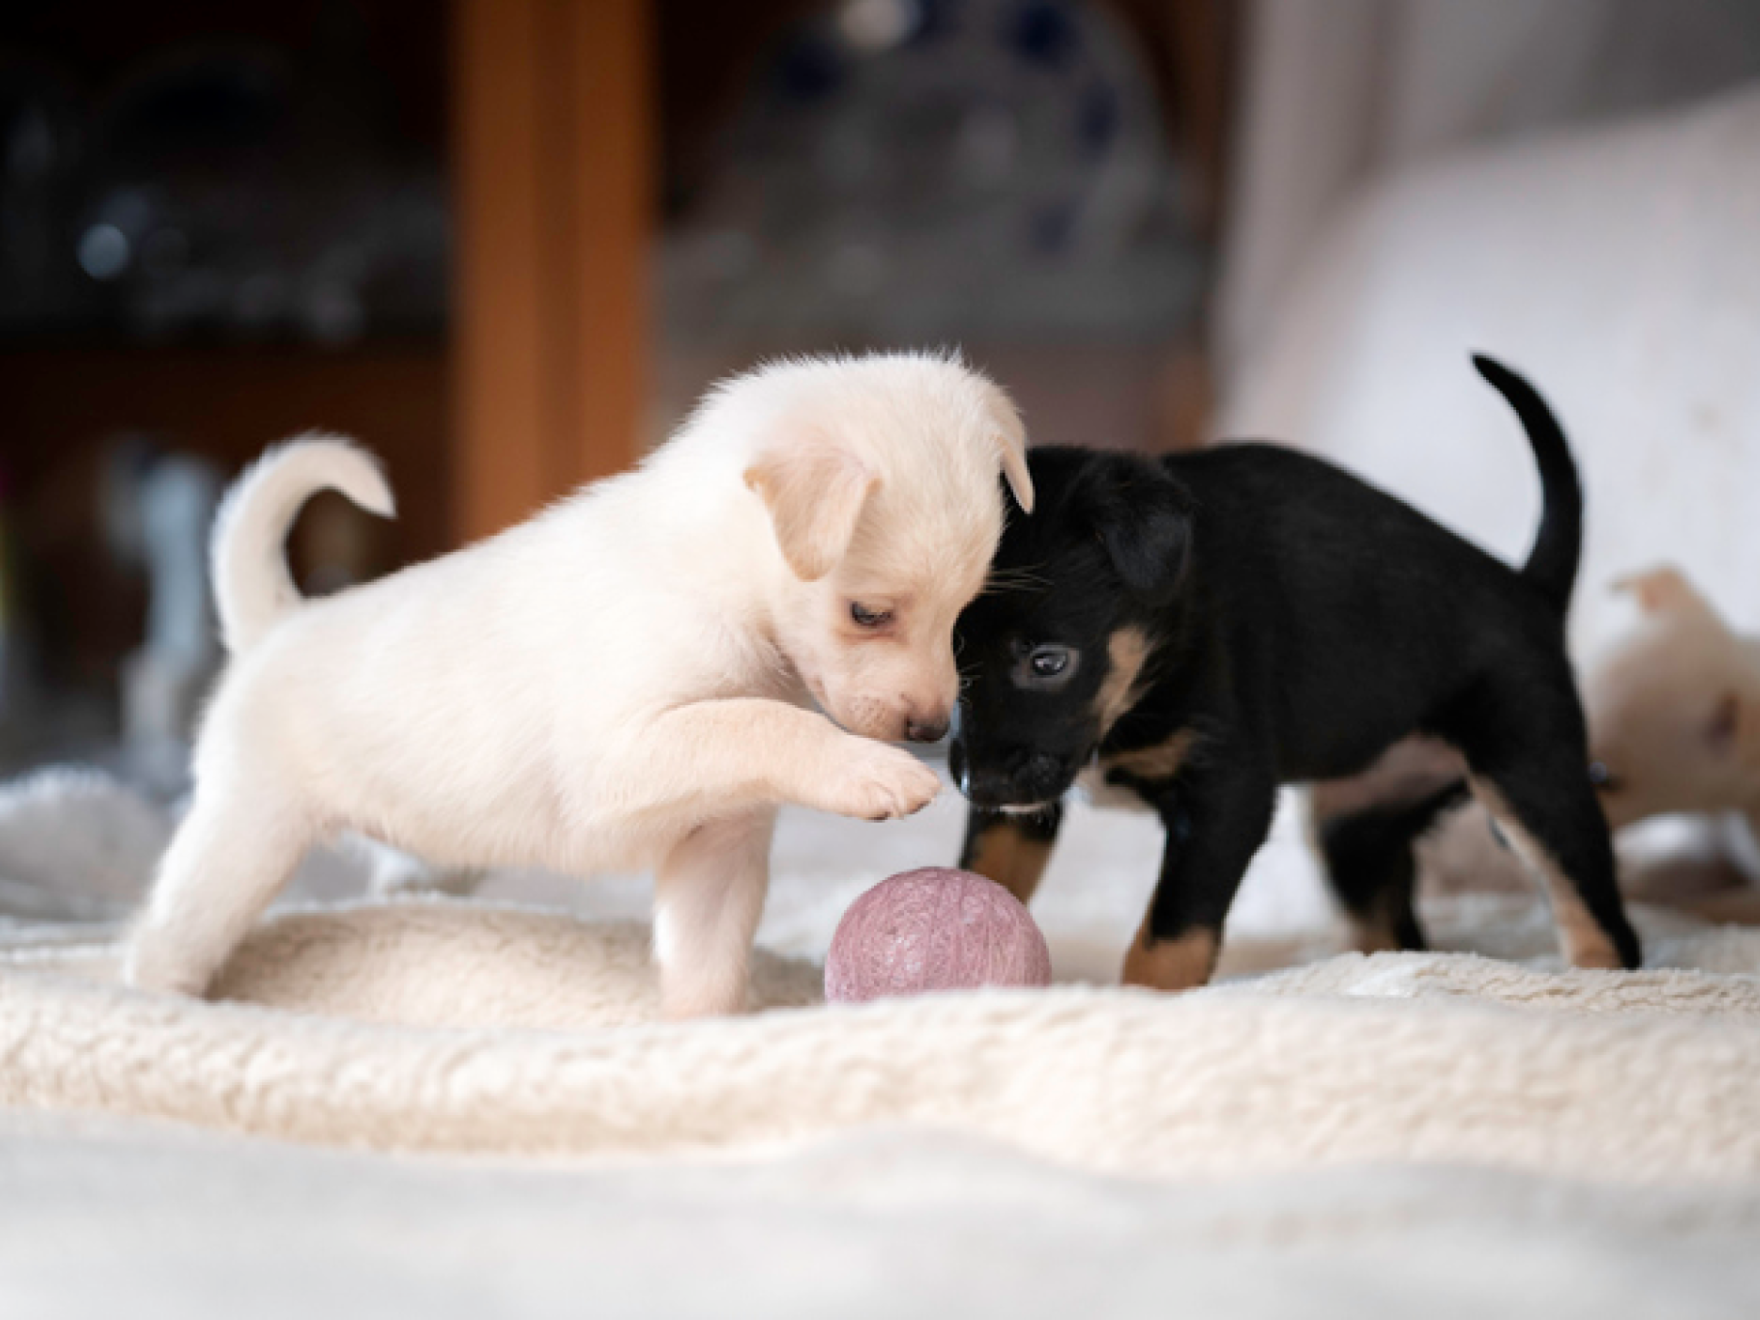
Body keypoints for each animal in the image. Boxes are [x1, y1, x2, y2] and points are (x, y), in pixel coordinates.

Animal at [127, 352, 1027, 1013]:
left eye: (963, 611)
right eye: (868, 614)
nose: (931, 732)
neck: (713, 578)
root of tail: (277, 627)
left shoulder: (721, 843)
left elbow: (706, 964)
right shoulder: (617, 758)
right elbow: (767, 723)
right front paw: (872, 773)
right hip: (244, 838)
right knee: (161, 939)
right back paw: (161, 1010)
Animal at [957, 359, 1640, 992]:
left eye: (1048, 662)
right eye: (948, 655)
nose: (975, 783)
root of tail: (1530, 590)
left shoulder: (1226, 795)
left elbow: (1168, 935)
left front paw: (1146, 1006)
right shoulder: (1018, 812)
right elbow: (984, 874)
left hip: (1531, 778)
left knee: (1599, 919)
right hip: (1354, 831)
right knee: (1397, 932)